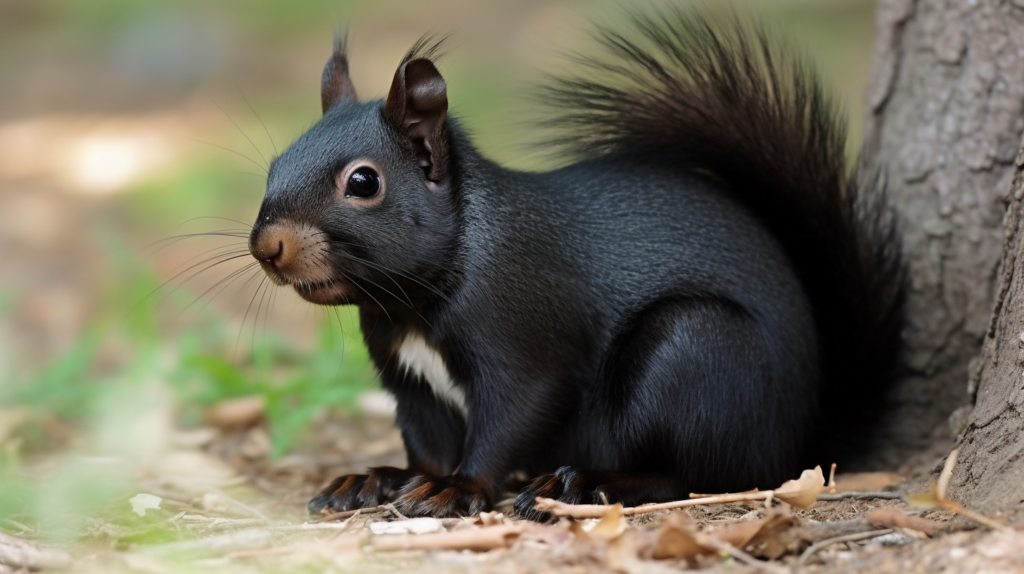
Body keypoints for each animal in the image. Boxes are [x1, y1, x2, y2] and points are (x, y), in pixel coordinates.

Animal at [246, 7, 904, 519]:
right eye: (275, 164)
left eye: (363, 182)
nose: (266, 245)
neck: (411, 303)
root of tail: (807, 432)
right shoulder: (408, 377)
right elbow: (426, 439)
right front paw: (386, 477)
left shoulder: (526, 341)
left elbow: (509, 420)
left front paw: (454, 488)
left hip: (692, 350)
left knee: (693, 473)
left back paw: (587, 482)